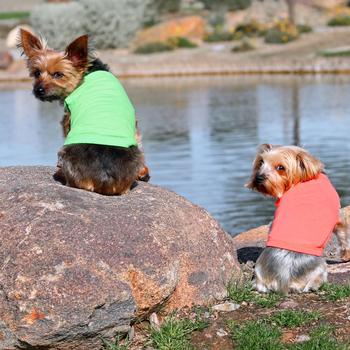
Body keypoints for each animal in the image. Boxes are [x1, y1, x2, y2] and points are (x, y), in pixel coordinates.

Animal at [19, 29, 150, 194]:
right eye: (36, 73)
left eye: (58, 74)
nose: (39, 90)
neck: (85, 75)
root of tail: (104, 179)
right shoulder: (135, 126)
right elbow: (138, 138)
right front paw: (143, 173)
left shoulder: (67, 119)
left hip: (65, 152)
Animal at [246, 144, 350, 294]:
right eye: (261, 162)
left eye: (281, 167)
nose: (258, 178)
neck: (302, 180)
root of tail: (283, 278)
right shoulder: (338, 218)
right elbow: (344, 237)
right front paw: (346, 256)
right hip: (319, 268)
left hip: (260, 274)